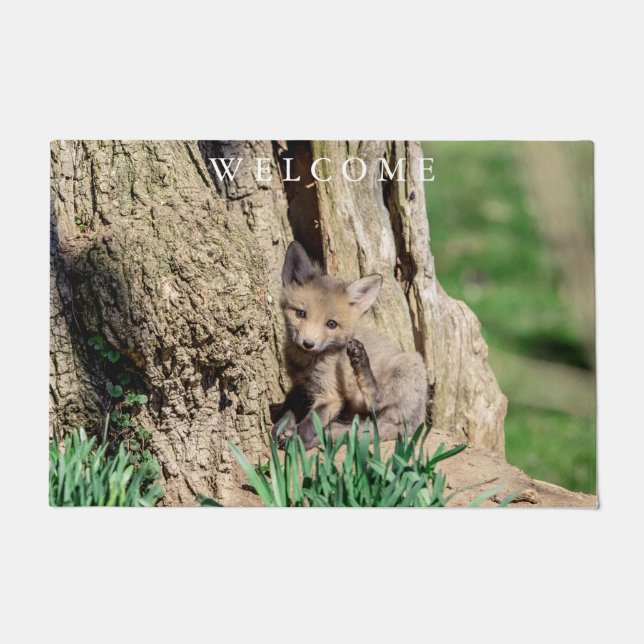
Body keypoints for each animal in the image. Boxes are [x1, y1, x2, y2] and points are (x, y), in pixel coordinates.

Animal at [272, 241, 427, 449]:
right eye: (300, 314)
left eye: (331, 324)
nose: (308, 343)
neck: (307, 364)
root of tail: (413, 424)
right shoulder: (301, 386)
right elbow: (290, 408)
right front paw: (282, 427)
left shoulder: (331, 396)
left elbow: (309, 423)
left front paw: (296, 441)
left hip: (410, 364)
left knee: (376, 401)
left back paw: (360, 359)